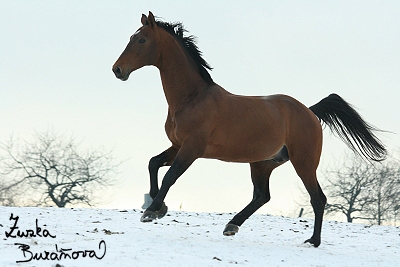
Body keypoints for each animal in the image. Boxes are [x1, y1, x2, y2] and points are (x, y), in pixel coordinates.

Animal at [111, 12, 386, 247]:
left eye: (141, 39)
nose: (117, 70)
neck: (192, 99)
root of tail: (310, 111)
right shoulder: (177, 145)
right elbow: (153, 163)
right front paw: (160, 208)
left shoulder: (192, 149)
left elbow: (170, 175)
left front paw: (150, 212)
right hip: (263, 163)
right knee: (262, 196)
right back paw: (232, 225)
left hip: (304, 163)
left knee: (317, 198)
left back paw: (313, 241)